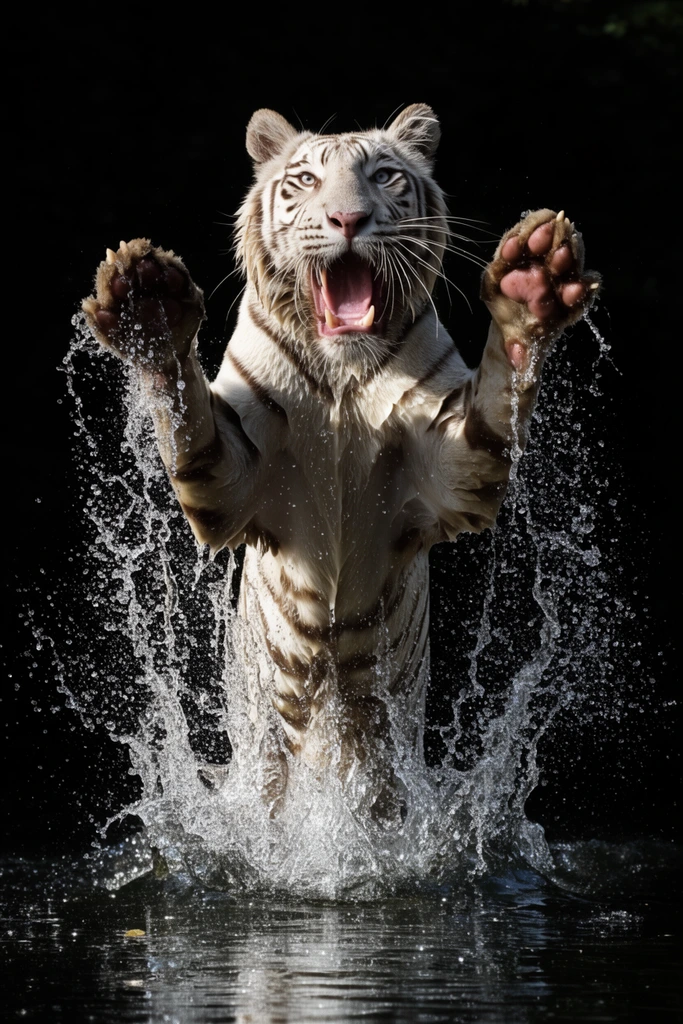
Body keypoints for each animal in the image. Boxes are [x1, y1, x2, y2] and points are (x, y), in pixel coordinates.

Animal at [82, 104, 600, 827]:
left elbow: (500, 392)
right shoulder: (230, 485)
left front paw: (532, 285)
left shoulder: (453, 470)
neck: (341, 378)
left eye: (383, 176)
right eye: (304, 180)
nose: (348, 220)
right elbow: (184, 413)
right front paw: (147, 305)